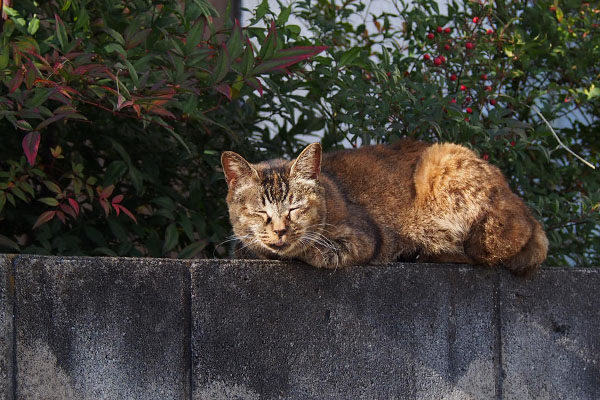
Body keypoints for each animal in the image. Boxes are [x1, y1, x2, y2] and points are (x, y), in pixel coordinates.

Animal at [221, 140, 548, 276]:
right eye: (260, 212)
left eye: (295, 208)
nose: (279, 230)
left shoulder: (365, 237)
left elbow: (315, 249)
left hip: (443, 161)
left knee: (482, 255)